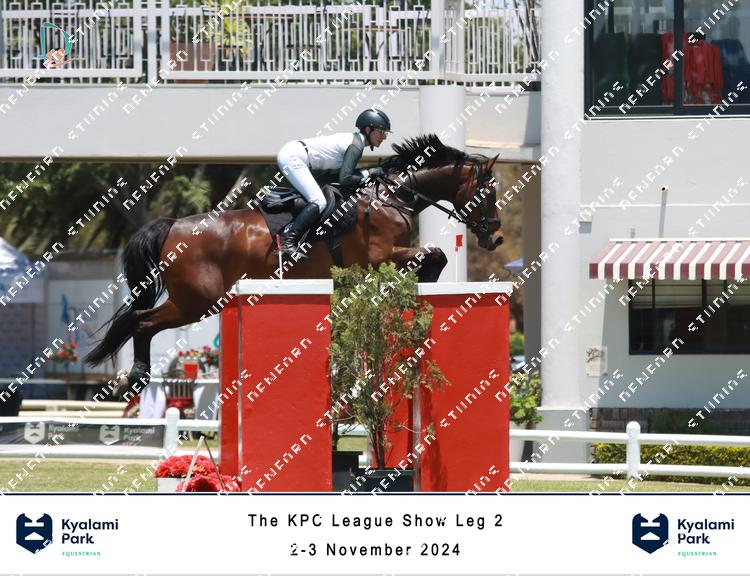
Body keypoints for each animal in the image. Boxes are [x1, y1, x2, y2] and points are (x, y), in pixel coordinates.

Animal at [84, 134, 504, 389]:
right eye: (487, 193)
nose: (496, 237)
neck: (391, 197)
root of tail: (173, 225)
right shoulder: (380, 257)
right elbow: (434, 254)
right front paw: (429, 281)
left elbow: (434, 255)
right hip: (197, 301)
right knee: (142, 322)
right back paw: (137, 376)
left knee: (140, 321)